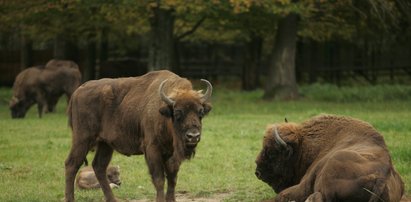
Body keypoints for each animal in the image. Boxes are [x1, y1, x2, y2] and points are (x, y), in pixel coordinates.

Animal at [65, 70, 212, 202]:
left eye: (200, 112)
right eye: (177, 113)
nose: (193, 136)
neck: (163, 113)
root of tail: (77, 92)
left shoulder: (173, 155)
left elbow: (172, 178)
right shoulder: (152, 150)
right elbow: (159, 179)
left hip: (105, 144)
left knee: (99, 167)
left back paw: (113, 199)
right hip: (82, 139)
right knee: (71, 164)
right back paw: (70, 198)